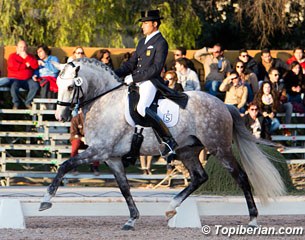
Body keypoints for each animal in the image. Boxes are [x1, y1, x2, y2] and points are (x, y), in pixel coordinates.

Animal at [39, 58, 284, 231]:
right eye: (57, 83)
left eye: (71, 87)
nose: (60, 116)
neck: (104, 101)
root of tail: (223, 104)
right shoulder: (112, 157)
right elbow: (124, 188)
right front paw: (132, 220)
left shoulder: (98, 151)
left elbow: (65, 166)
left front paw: (45, 201)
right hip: (188, 150)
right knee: (199, 177)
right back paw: (170, 208)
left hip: (219, 148)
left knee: (240, 176)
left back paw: (252, 219)